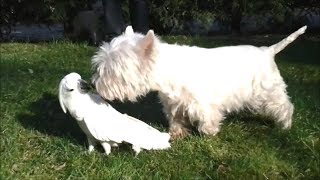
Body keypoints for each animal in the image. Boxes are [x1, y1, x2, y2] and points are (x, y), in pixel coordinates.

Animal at [91, 25, 306, 139]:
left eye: (111, 71)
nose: (96, 86)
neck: (168, 72)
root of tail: (267, 50)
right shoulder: (173, 103)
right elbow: (176, 119)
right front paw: (177, 133)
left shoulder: (203, 104)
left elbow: (207, 120)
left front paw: (209, 133)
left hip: (270, 91)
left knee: (285, 106)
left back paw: (285, 126)